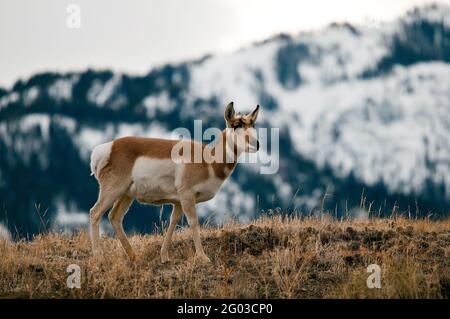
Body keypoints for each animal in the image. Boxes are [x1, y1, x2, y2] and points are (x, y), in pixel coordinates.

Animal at [89, 103, 260, 264]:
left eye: (253, 125)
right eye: (236, 125)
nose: (256, 144)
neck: (208, 160)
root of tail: (107, 148)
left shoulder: (178, 202)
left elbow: (173, 222)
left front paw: (164, 256)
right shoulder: (187, 195)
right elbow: (193, 222)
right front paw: (203, 257)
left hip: (126, 195)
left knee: (115, 217)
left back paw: (134, 257)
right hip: (113, 191)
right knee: (95, 213)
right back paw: (98, 257)